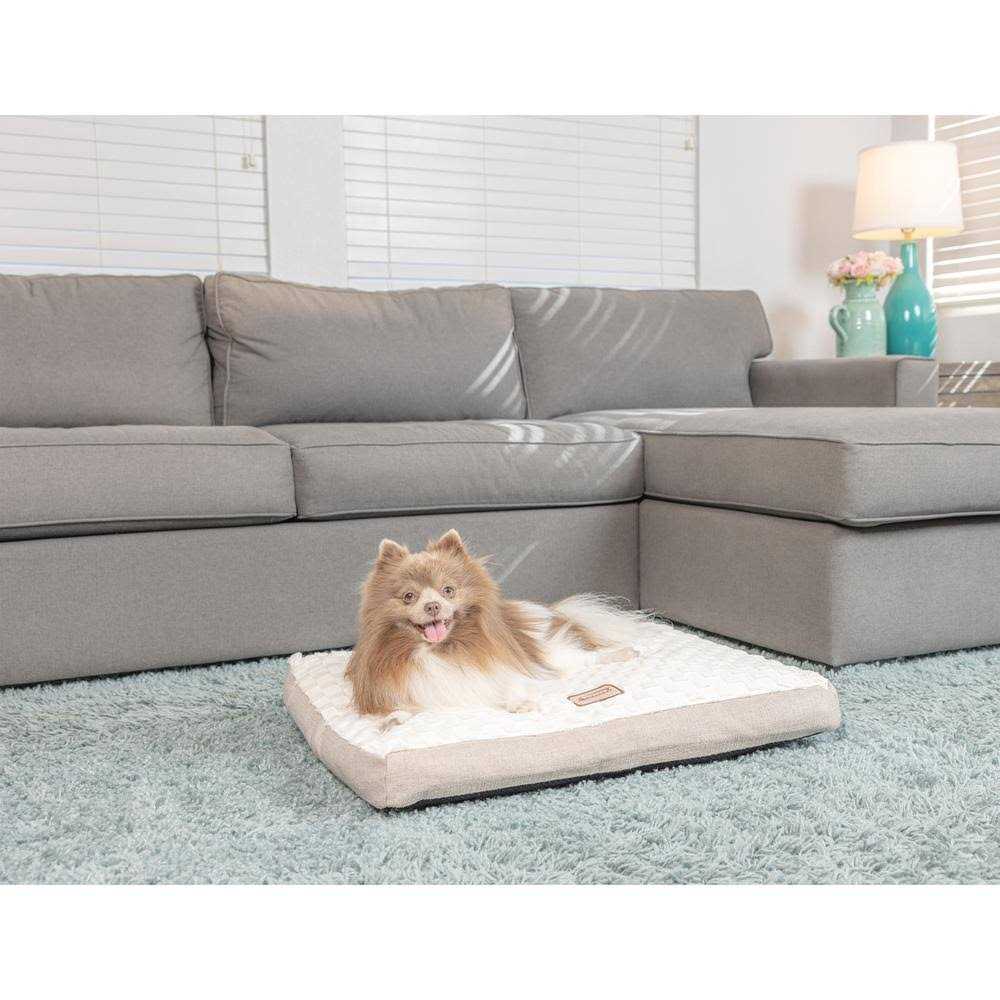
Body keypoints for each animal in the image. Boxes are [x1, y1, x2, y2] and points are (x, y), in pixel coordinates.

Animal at [345, 529, 640, 726]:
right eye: (409, 596)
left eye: (448, 590)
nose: (432, 606)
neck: (442, 650)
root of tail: (549, 611)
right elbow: (397, 704)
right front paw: (394, 717)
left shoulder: (508, 669)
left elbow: (509, 684)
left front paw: (519, 703)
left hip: (554, 654)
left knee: (588, 657)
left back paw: (625, 653)